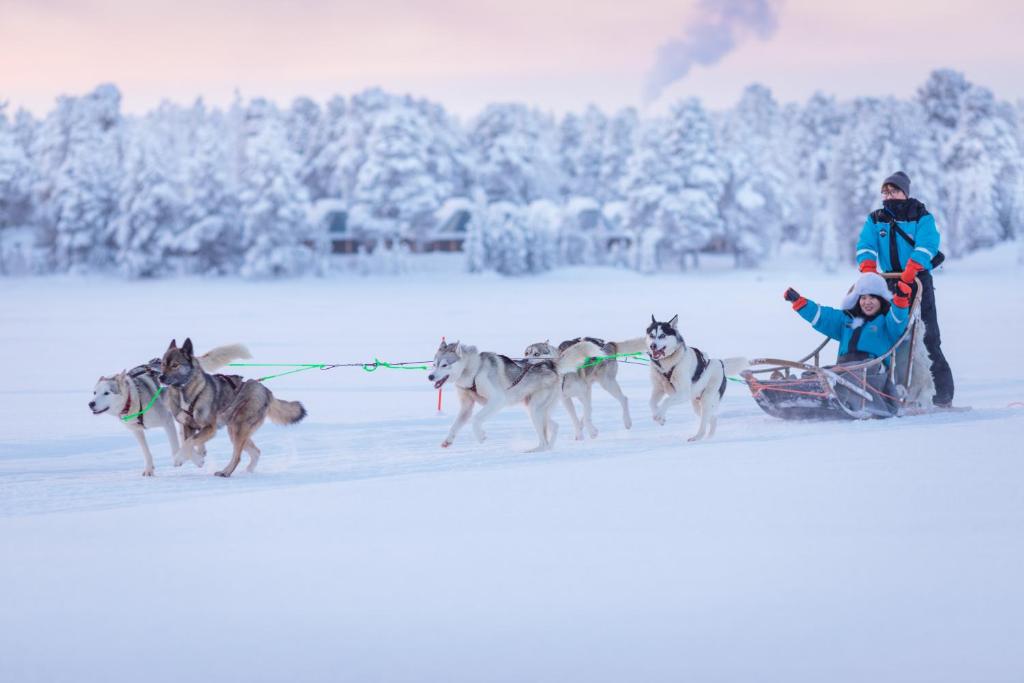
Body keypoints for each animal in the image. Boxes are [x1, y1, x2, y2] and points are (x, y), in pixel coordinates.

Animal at [90, 344, 253, 479]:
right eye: (94, 392)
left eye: (106, 393)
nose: (90, 404)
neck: (134, 398)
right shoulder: (137, 431)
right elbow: (146, 452)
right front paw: (149, 469)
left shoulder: (167, 422)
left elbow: (177, 448)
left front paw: (192, 460)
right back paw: (200, 448)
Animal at [158, 339, 303, 479]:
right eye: (163, 364)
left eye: (175, 365)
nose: (160, 377)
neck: (186, 392)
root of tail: (266, 390)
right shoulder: (188, 426)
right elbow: (188, 443)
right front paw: (197, 459)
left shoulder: (210, 428)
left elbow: (189, 443)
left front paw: (179, 458)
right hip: (235, 430)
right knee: (256, 452)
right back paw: (248, 470)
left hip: (238, 429)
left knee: (237, 457)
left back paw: (225, 472)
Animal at [428, 339, 602, 450]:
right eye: (434, 364)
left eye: (445, 365)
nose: (430, 376)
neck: (474, 371)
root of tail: (551, 364)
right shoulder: (466, 407)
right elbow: (455, 425)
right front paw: (448, 441)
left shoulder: (497, 401)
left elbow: (476, 420)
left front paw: (480, 436)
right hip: (534, 409)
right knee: (554, 427)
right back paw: (547, 448)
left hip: (535, 410)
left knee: (544, 438)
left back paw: (536, 450)